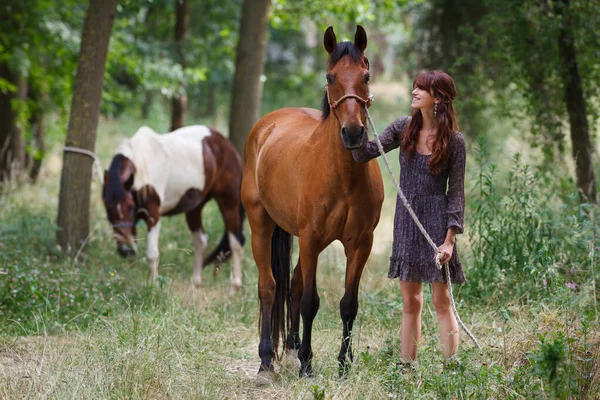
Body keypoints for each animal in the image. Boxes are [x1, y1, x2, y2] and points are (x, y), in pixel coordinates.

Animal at [102, 125, 245, 290]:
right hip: (195, 208)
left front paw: (153, 287)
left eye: (129, 205)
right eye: (108, 207)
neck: (142, 166)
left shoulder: (153, 216)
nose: (126, 250)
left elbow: (152, 254)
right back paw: (195, 285)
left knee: (236, 243)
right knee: (201, 241)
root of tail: (228, 145)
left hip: (229, 204)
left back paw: (234, 288)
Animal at [240, 25, 384, 382]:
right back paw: (267, 359)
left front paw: (344, 363)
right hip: (262, 225)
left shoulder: (360, 243)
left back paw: (290, 348)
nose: (353, 133)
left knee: (290, 286)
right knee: (269, 287)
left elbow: (348, 304)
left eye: (366, 75)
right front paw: (307, 363)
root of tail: (266, 126)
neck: (342, 177)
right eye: (330, 77)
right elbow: (310, 302)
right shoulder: (311, 239)